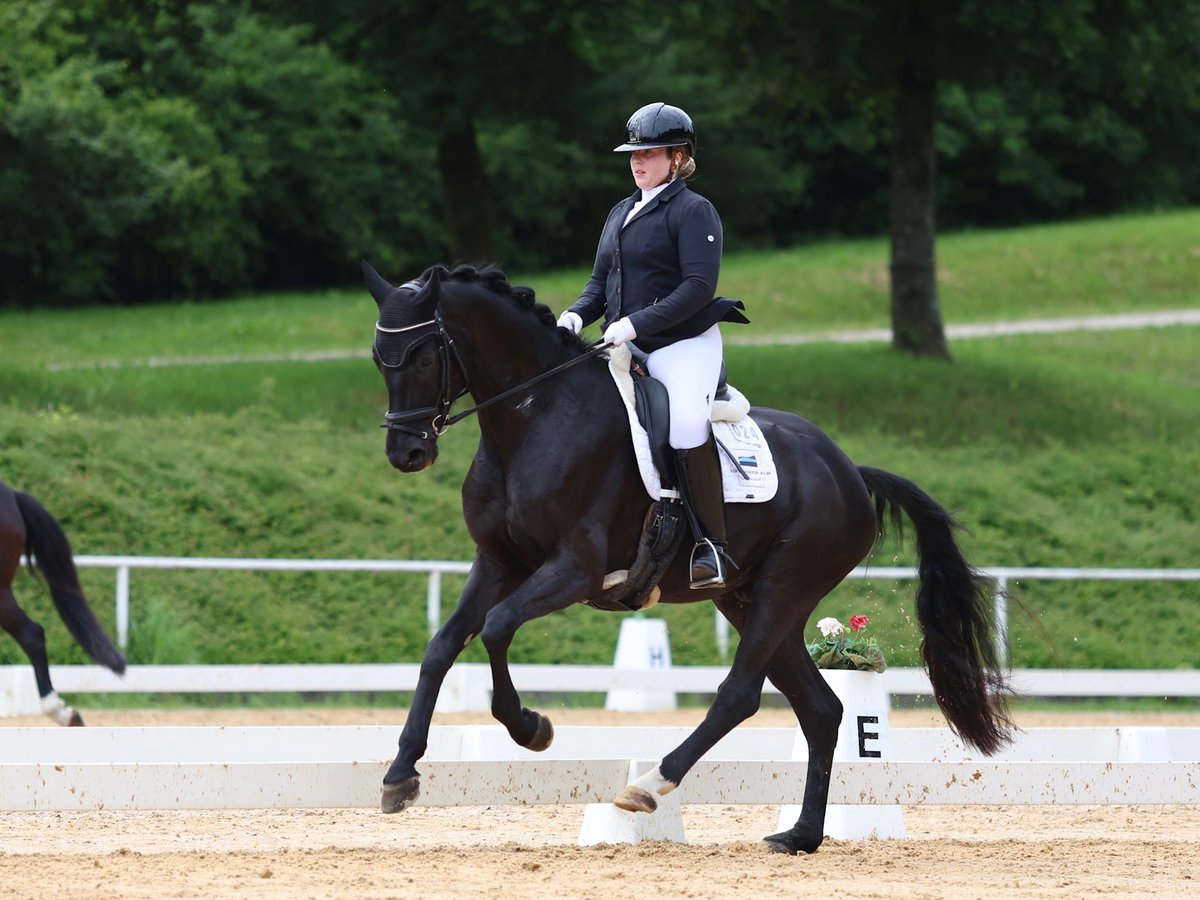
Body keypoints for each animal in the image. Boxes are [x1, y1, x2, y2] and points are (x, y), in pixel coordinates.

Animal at [362, 261, 1013, 854]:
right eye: (377, 357)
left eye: (422, 356)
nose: (406, 453)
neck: (533, 417)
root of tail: (850, 470)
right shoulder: (498, 563)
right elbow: (441, 647)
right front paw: (400, 775)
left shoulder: (573, 569)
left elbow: (496, 628)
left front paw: (531, 729)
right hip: (747, 599)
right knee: (822, 709)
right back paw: (800, 836)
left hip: (785, 586)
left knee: (740, 694)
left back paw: (650, 784)